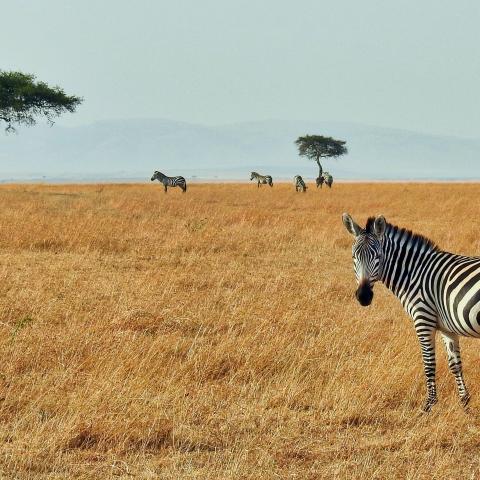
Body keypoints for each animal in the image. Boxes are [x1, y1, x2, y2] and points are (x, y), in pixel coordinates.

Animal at [342, 214, 480, 412]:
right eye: (354, 257)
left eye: (377, 256)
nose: (363, 296)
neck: (414, 273)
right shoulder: (448, 328)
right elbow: (455, 365)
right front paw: (465, 404)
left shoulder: (423, 319)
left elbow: (429, 364)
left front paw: (429, 405)